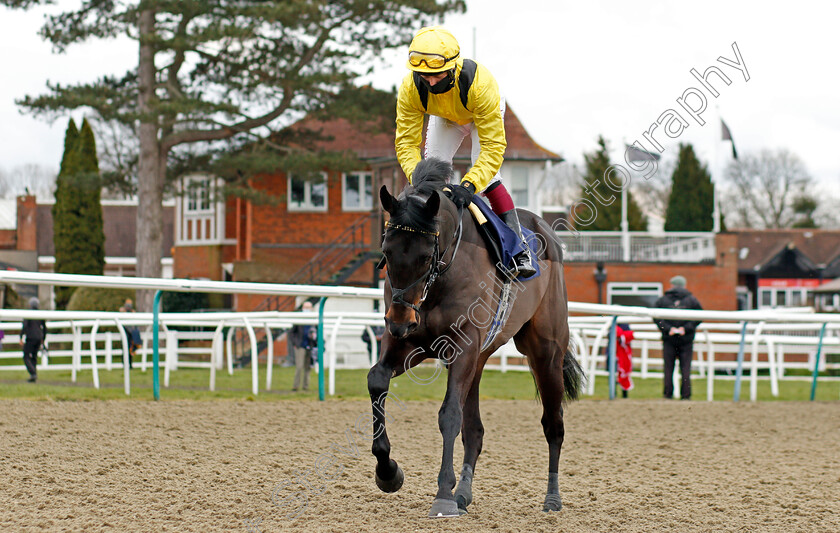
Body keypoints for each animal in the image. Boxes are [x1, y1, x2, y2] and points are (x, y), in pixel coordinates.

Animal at [368, 157, 584, 516]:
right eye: (387, 249)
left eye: (425, 256)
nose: (399, 321)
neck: (441, 279)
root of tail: (545, 231)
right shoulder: (411, 343)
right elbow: (377, 380)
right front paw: (388, 472)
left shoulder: (463, 346)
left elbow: (449, 415)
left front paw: (442, 492)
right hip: (479, 359)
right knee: (475, 430)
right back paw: (464, 494)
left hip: (545, 353)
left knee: (554, 425)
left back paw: (552, 497)